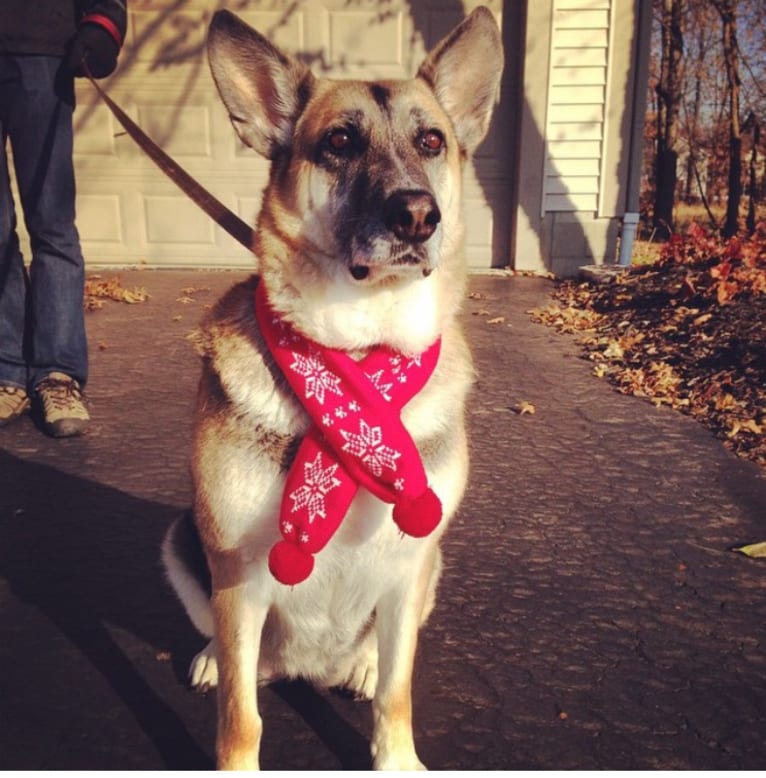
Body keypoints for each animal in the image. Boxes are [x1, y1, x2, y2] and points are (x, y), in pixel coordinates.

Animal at [164, 6, 504, 768]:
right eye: (340, 142)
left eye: (431, 140)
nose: (418, 215)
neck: (357, 363)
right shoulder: (237, 577)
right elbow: (242, 718)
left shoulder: (410, 566)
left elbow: (397, 694)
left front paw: (397, 759)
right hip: (186, 543)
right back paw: (211, 658)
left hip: (428, 571)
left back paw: (364, 664)